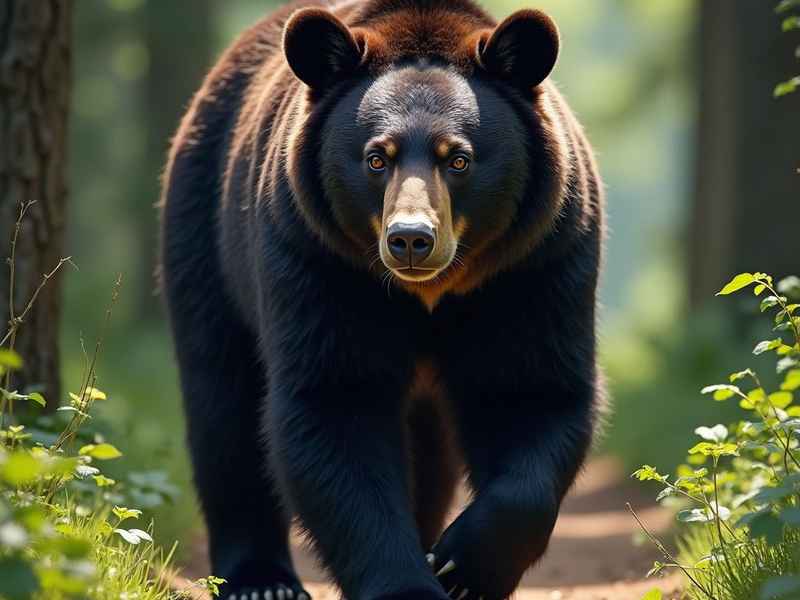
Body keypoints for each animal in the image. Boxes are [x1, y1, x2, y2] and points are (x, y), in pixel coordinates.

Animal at [159, 1, 605, 599]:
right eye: (377, 158)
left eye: (458, 159)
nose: (411, 238)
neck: (433, 291)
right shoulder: (318, 259)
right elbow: (337, 401)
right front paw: (410, 582)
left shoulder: (537, 261)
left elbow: (531, 391)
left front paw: (462, 565)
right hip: (207, 237)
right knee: (222, 403)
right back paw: (260, 578)